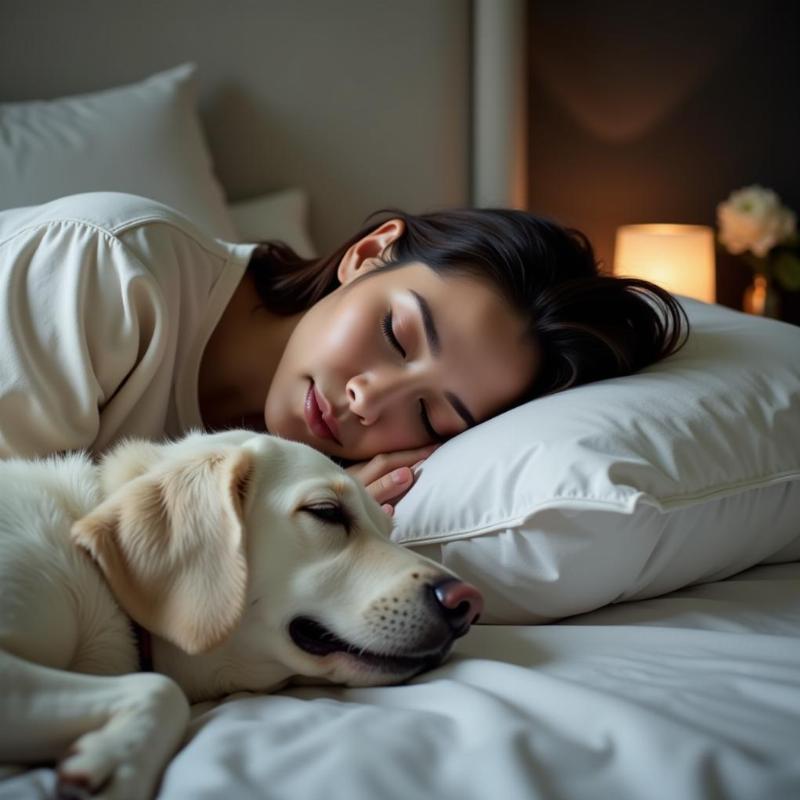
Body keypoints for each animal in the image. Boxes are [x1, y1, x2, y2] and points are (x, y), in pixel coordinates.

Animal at [0, 434, 482, 796]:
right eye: (326, 512)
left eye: (389, 531)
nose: (468, 603)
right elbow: (162, 688)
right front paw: (118, 762)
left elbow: (162, 690)